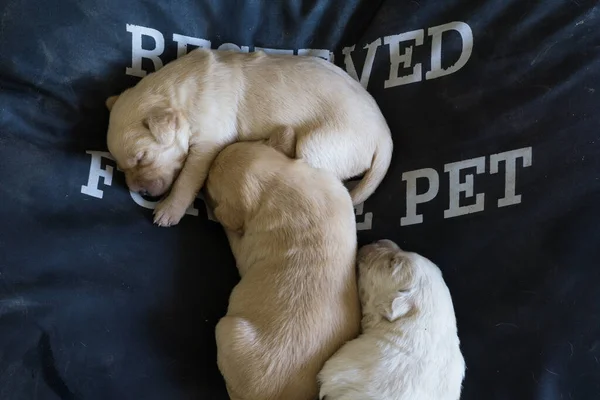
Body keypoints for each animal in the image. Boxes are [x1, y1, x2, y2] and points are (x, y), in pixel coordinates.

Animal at [104, 48, 394, 227]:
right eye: (121, 166)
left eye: (142, 157)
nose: (138, 191)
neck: (179, 92)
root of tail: (384, 136)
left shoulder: (207, 143)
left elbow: (186, 179)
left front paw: (169, 210)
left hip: (318, 145)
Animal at [204, 126, 360, 398]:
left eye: (210, 183)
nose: (202, 188)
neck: (278, 183)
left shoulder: (245, 247)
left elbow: (234, 236)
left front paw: (215, 214)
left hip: (226, 330)